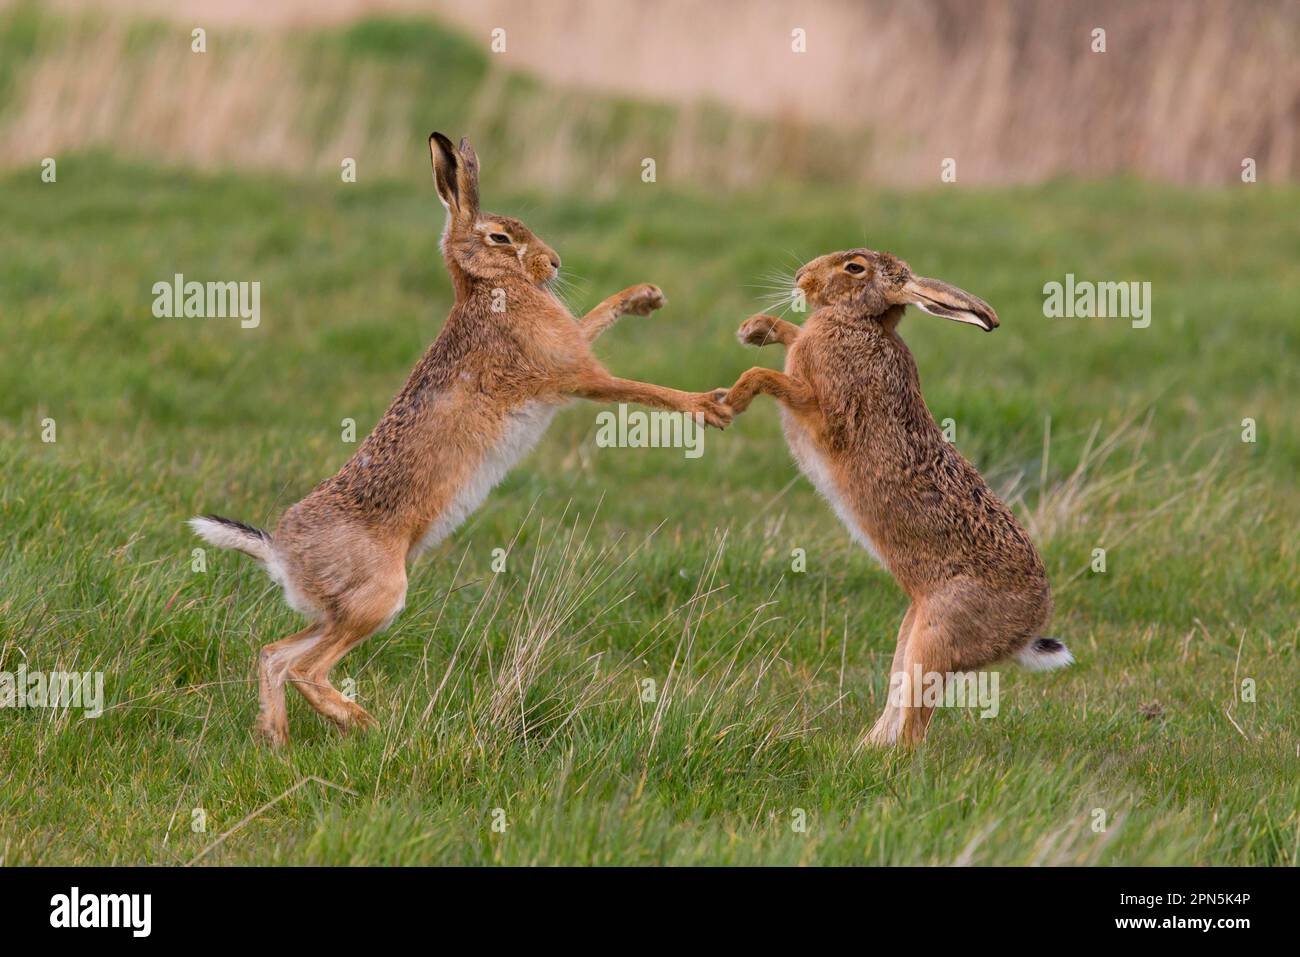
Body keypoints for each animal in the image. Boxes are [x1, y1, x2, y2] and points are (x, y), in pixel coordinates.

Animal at [190, 132, 732, 746]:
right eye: (500, 237)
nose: (554, 262)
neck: (488, 286)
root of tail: (282, 553)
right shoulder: (577, 375)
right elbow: (641, 389)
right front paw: (709, 406)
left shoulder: (570, 352)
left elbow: (595, 318)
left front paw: (645, 296)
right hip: (378, 597)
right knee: (306, 666)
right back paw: (361, 721)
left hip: (335, 611)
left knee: (274, 654)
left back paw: (277, 741)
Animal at [725, 248, 1070, 746]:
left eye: (854, 268)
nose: (801, 277)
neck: (861, 324)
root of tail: (1029, 627)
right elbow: (791, 339)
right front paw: (754, 328)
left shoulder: (827, 414)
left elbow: (768, 376)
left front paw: (730, 398)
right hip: (911, 633)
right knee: (898, 696)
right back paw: (862, 750)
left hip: (937, 639)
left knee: (915, 728)